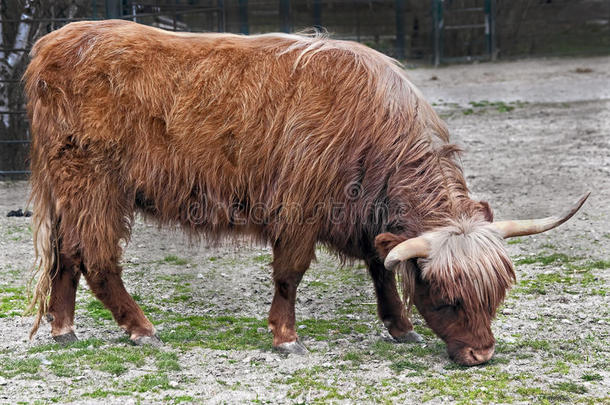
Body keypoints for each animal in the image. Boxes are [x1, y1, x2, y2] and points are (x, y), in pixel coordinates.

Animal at [23, 20, 584, 364]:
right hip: (94, 182)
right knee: (96, 258)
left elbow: (381, 269)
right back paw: (140, 327)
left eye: (495, 295)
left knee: (65, 255)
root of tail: (55, 42)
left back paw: (64, 329)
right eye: (446, 296)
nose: (481, 356)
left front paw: (399, 326)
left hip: (72, 188)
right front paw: (286, 338)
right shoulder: (298, 209)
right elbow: (289, 275)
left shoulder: (367, 219)